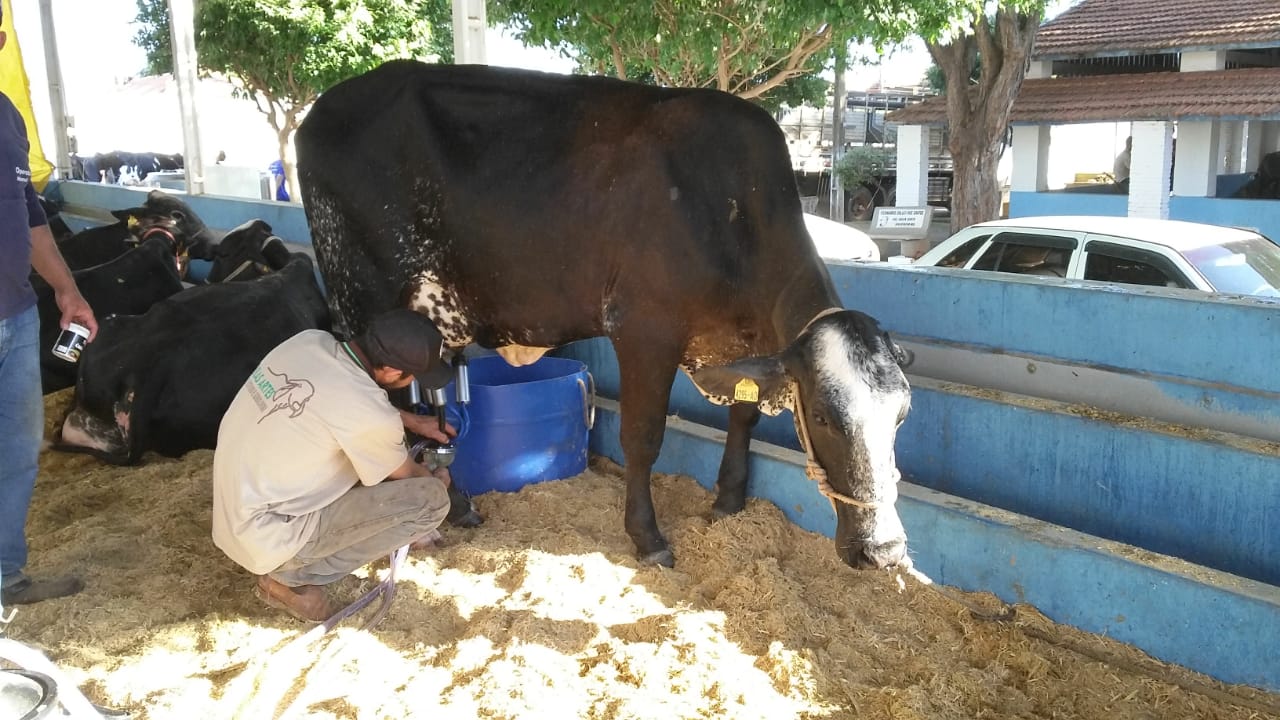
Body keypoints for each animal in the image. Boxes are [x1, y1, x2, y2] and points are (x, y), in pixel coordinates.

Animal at [294, 61, 916, 566]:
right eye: (825, 418)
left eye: (901, 418)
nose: (884, 551)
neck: (732, 208)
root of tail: (320, 111)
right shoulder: (645, 330)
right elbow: (642, 437)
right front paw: (648, 537)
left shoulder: (747, 342)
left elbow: (745, 414)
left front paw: (729, 499)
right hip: (365, 296)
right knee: (391, 410)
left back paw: (458, 502)